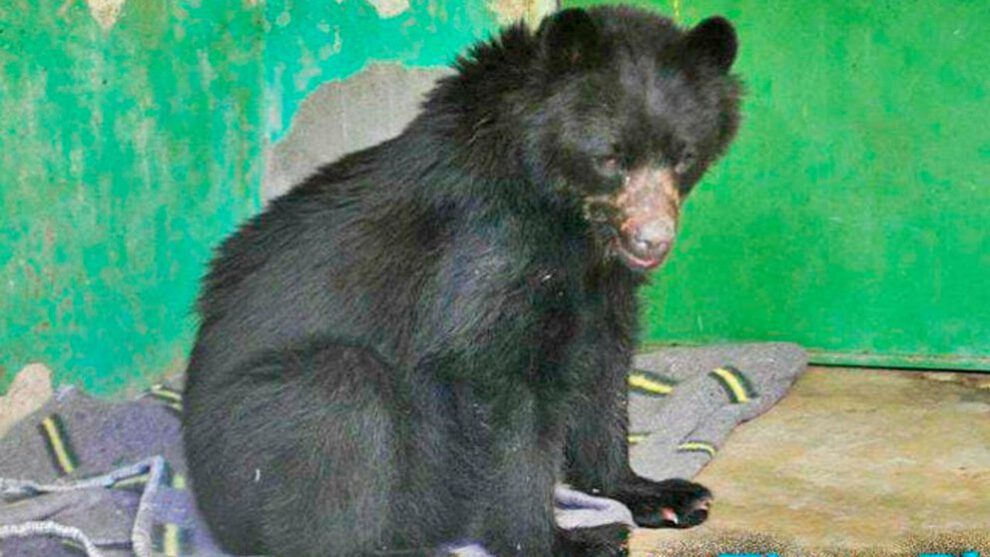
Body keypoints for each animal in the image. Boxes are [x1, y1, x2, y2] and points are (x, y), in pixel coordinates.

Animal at [183, 6, 742, 556]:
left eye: (683, 156)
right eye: (609, 158)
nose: (652, 243)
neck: (568, 219)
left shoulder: (599, 289)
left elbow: (604, 374)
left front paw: (662, 495)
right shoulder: (486, 257)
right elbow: (507, 401)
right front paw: (571, 539)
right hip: (258, 436)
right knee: (340, 404)